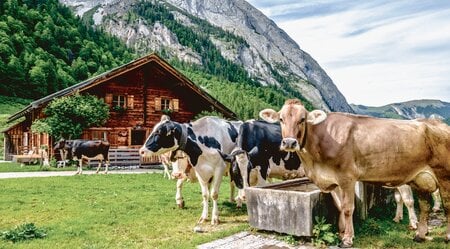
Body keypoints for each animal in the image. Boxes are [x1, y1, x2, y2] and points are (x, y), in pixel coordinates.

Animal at [260, 98, 450, 247]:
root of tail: (439, 123)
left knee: (447, 206)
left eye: (302, 119)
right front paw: (341, 232)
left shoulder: (347, 178)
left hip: (444, 175)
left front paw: (348, 239)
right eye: (281, 119)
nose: (289, 143)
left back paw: (445, 236)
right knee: (425, 206)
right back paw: (420, 235)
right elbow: (339, 207)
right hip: (419, 178)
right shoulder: (333, 181)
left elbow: (347, 208)